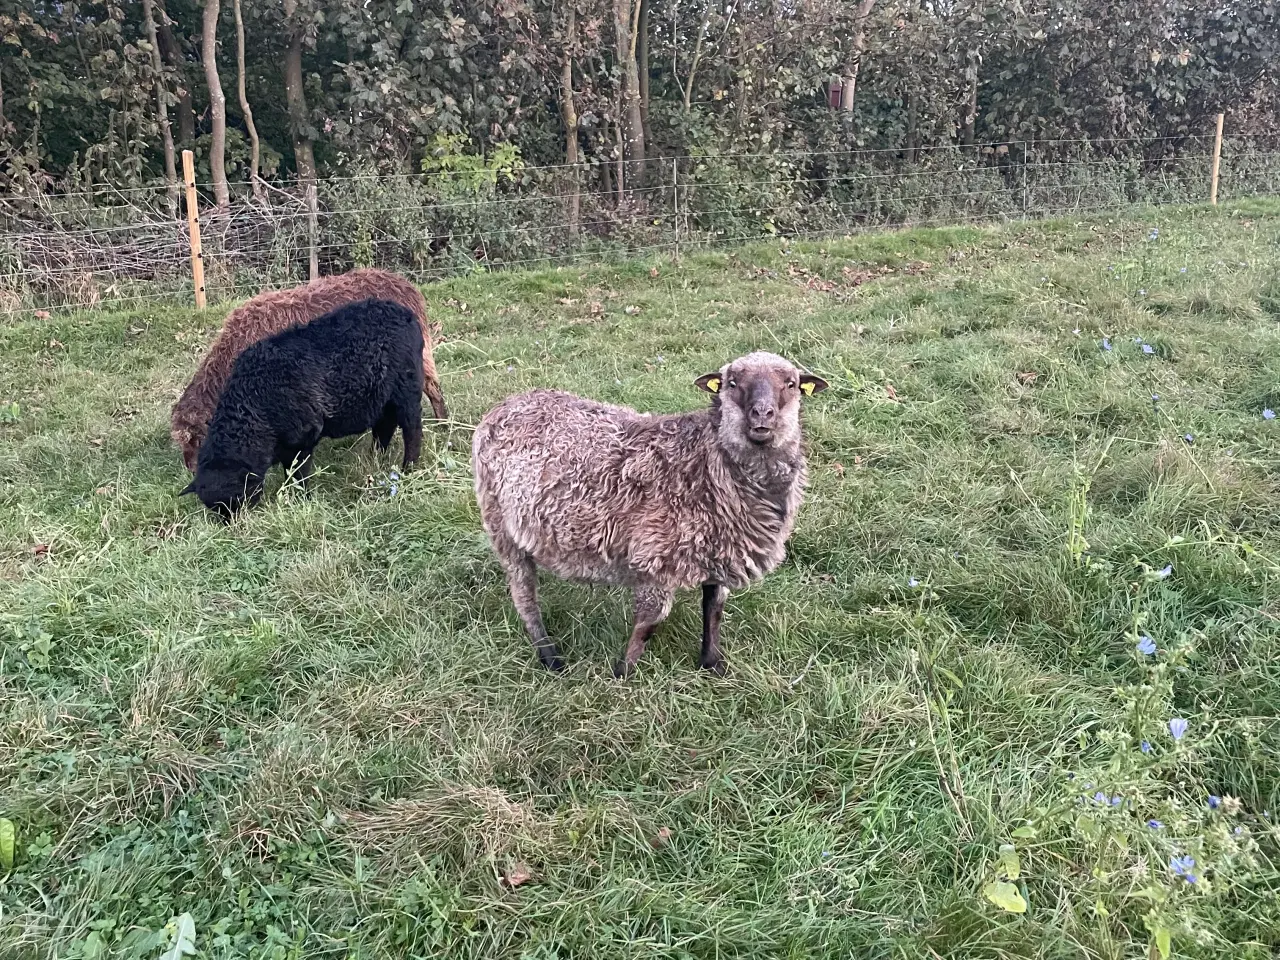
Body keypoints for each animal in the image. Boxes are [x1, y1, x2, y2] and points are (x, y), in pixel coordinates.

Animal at [473, 350, 829, 675]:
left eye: (791, 384)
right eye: (732, 383)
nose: (762, 415)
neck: (706, 463)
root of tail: (506, 403)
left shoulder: (718, 548)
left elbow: (714, 606)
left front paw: (712, 664)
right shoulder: (654, 557)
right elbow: (649, 622)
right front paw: (623, 673)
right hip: (499, 523)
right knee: (524, 594)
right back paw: (550, 657)